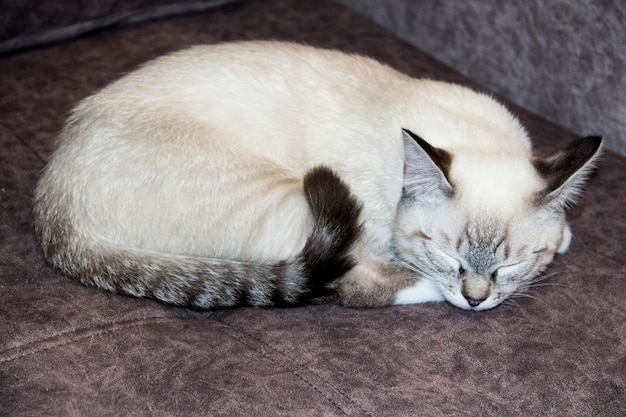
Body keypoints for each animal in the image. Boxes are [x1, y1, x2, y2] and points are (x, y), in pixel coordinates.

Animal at [33, 40, 600, 310]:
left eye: (510, 265)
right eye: (448, 255)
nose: (475, 300)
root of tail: (52, 204)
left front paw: (564, 235)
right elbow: (369, 276)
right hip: (285, 202)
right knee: (337, 284)